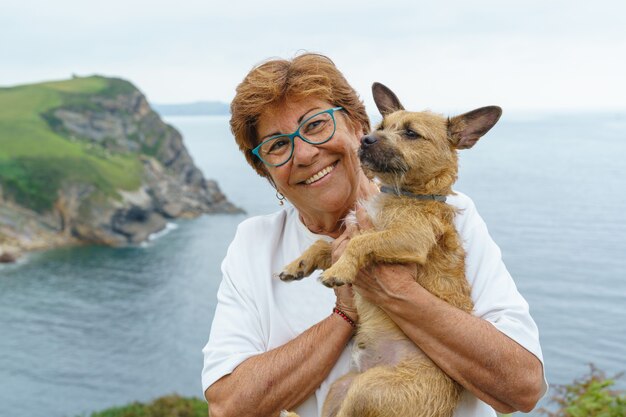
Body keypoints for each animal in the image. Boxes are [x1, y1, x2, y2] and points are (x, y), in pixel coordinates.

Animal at [280, 82, 500, 416]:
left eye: (410, 133)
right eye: (381, 127)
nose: (366, 139)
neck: (404, 194)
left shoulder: (411, 238)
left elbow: (362, 241)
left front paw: (340, 269)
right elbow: (325, 243)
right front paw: (298, 265)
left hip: (365, 389)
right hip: (340, 388)